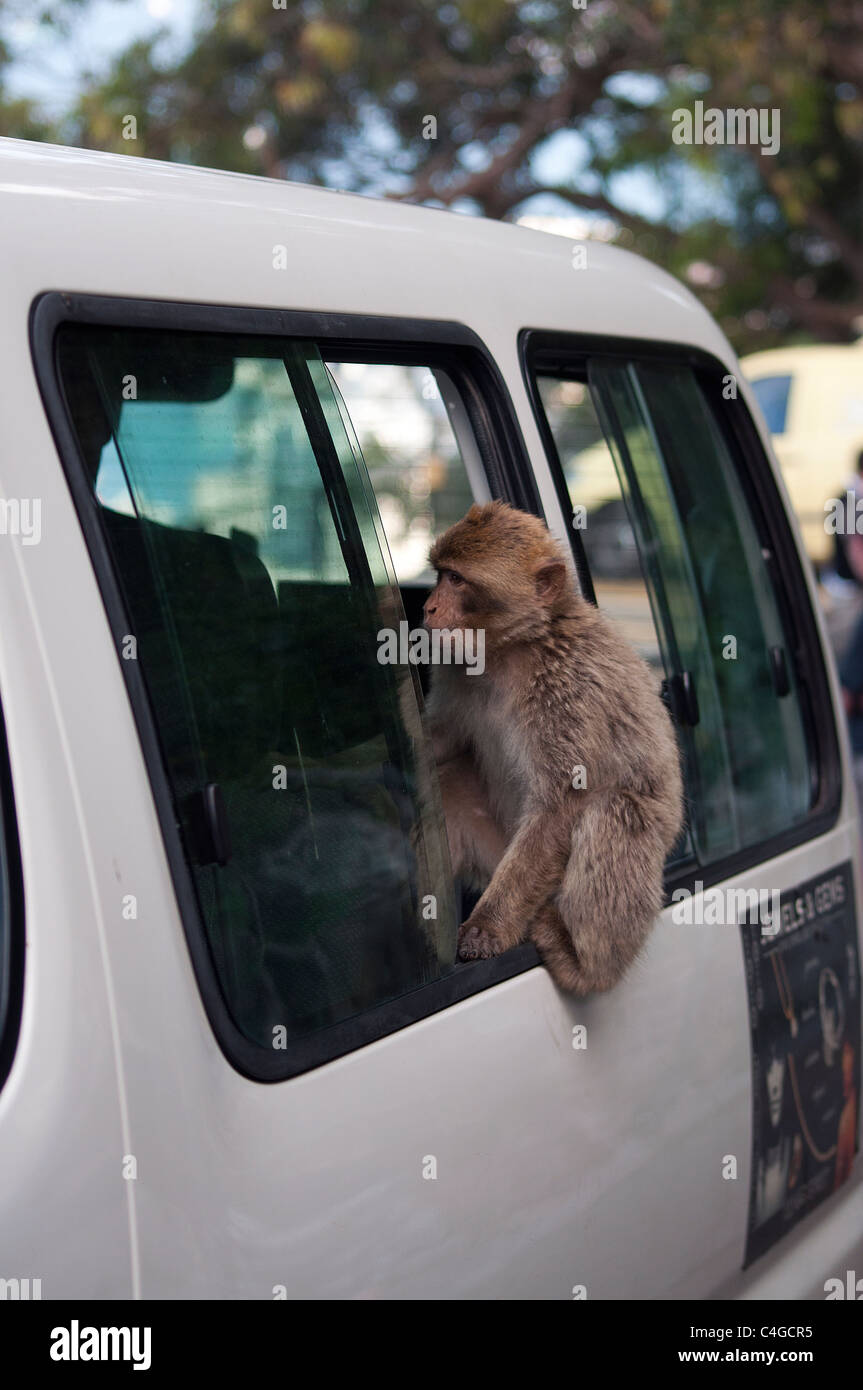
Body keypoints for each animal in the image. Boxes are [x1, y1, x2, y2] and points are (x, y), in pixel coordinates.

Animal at [422, 505, 680, 995]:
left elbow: (562, 804)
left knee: (616, 810)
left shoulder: (568, 688)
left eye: (458, 580)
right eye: (440, 574)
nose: (427, 607)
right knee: (448, 782)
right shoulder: (456, 667)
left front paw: (487, 928)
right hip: (497, 854)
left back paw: (584, 964)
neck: (511, 650)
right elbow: (438, 743)